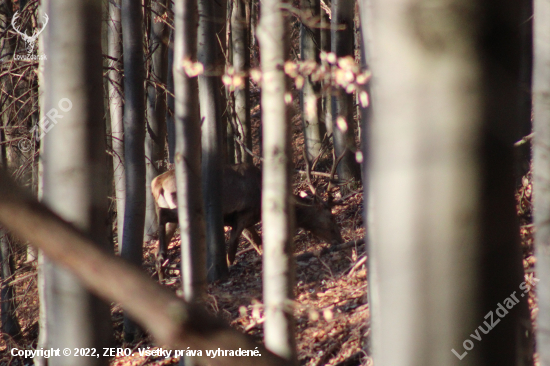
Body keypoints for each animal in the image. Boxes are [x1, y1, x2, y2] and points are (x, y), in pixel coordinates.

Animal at [152, 163, 344, 278]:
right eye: (331, 216)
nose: (340, 240)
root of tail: (156, 183)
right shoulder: (243, 215)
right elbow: (232, 251)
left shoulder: (245, 221)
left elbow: (258, 244)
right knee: (163, 213)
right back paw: (163, 260)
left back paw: (162, 267)